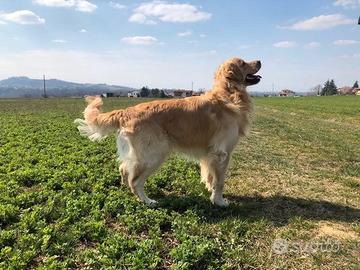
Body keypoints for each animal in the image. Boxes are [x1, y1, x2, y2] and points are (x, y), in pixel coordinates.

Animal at [75, 57, 262, 207]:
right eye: (243, 63)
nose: (260, 61)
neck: (229, 95)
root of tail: (127, 111)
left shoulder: (209, 153)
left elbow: (209, 175)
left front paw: (210, 190)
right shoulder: (222, 153)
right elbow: (220, 181)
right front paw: (219, 201)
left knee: (124, 169)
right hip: (154, 154)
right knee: (135, 181)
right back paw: (147, 201)